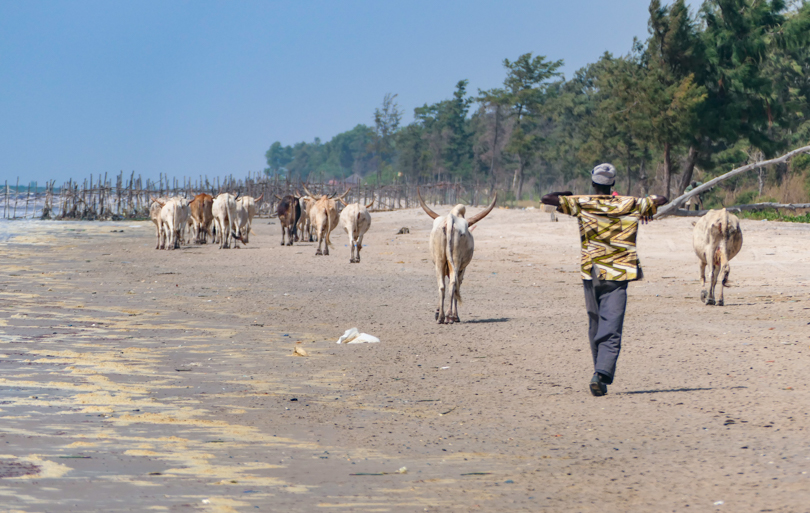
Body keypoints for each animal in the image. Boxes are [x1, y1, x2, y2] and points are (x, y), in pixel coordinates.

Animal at [420, 188, 496, 324]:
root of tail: (450, 219)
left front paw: (438, 312)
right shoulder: (462, 269)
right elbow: (457, 287)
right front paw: (455, 316)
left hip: (440, 261)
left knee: (442, 286)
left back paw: (441, 317)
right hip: (456, 261)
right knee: (453, 285)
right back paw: (450, 316)